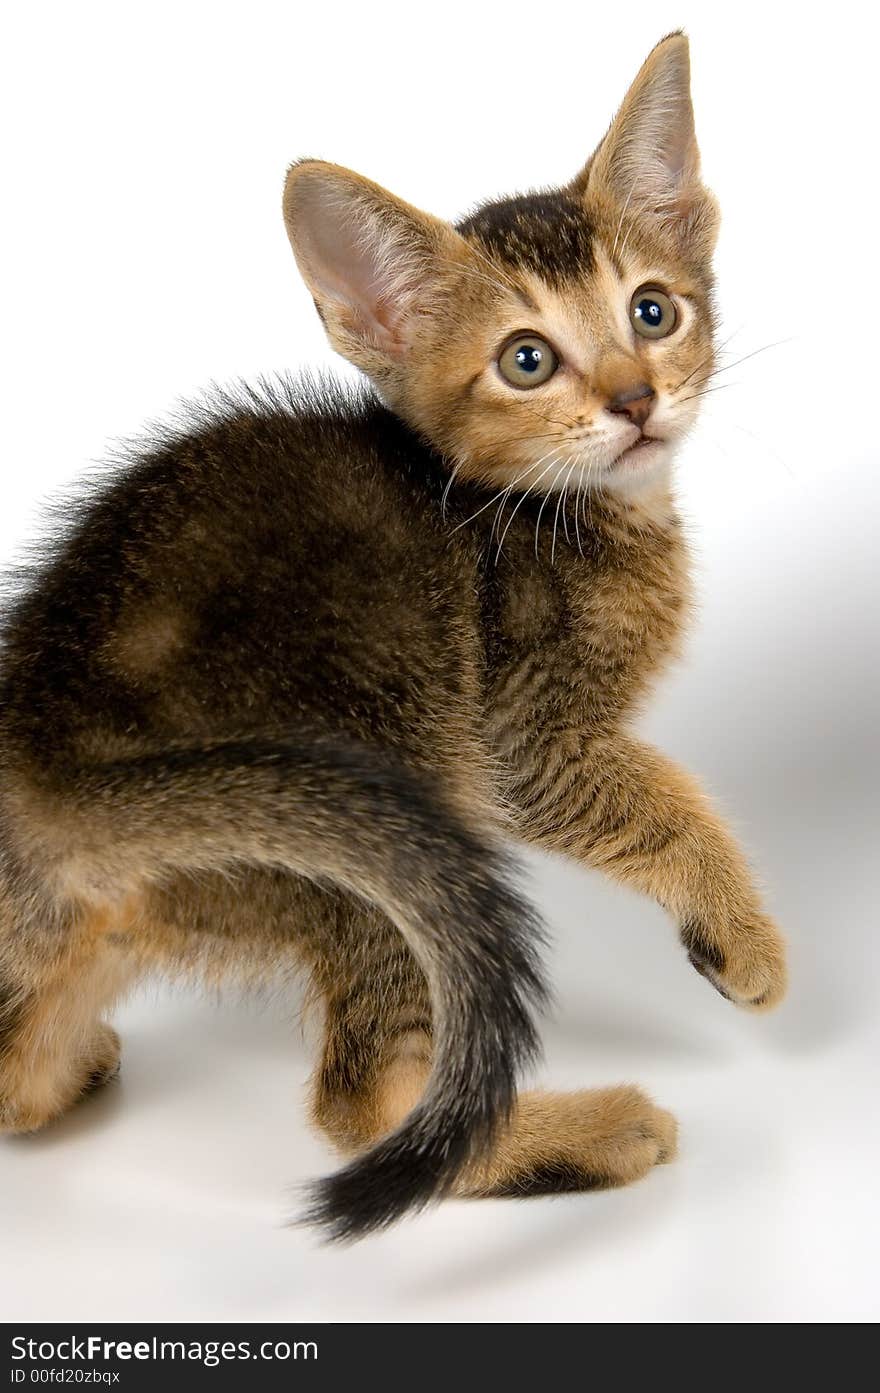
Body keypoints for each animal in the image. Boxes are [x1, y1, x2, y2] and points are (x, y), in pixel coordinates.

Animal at [0, 32, 785, 1236]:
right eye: (525, 359)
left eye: (653, 311)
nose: (634, 398)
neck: (549, 512)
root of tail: (44, 755)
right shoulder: (523, 742)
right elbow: (658, 803)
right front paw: (741, 935)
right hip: (387, 806)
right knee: (363, 1108)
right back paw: (592, 1133)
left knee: (18, 1076)